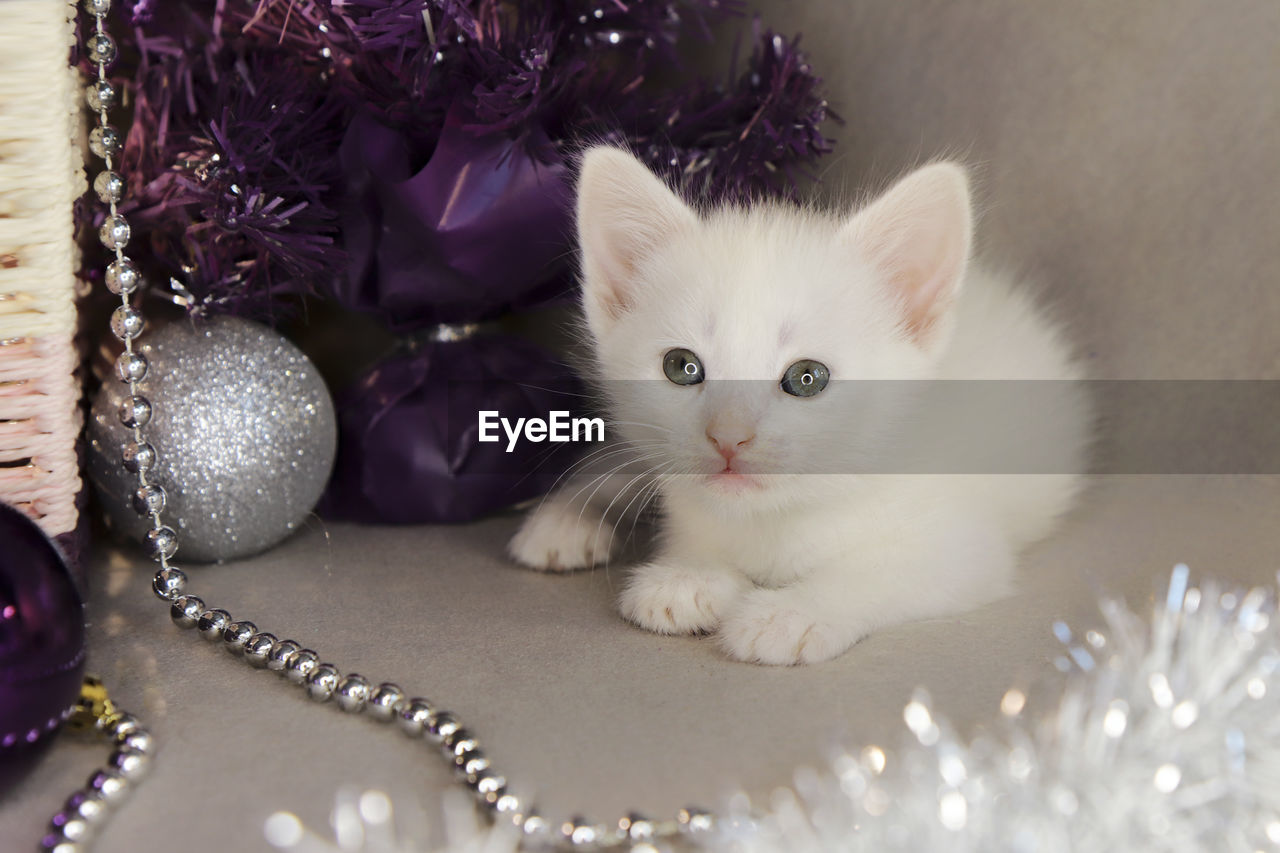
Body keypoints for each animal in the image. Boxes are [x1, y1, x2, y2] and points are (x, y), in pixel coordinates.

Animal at [509, 146, 1090, 666]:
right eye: (682, 367)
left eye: (807, 378)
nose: (729, 436)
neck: (782, 517)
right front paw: (688, 575)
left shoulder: (966, 547)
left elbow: (881, 572)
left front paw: (789, 616)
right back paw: (564, 520)